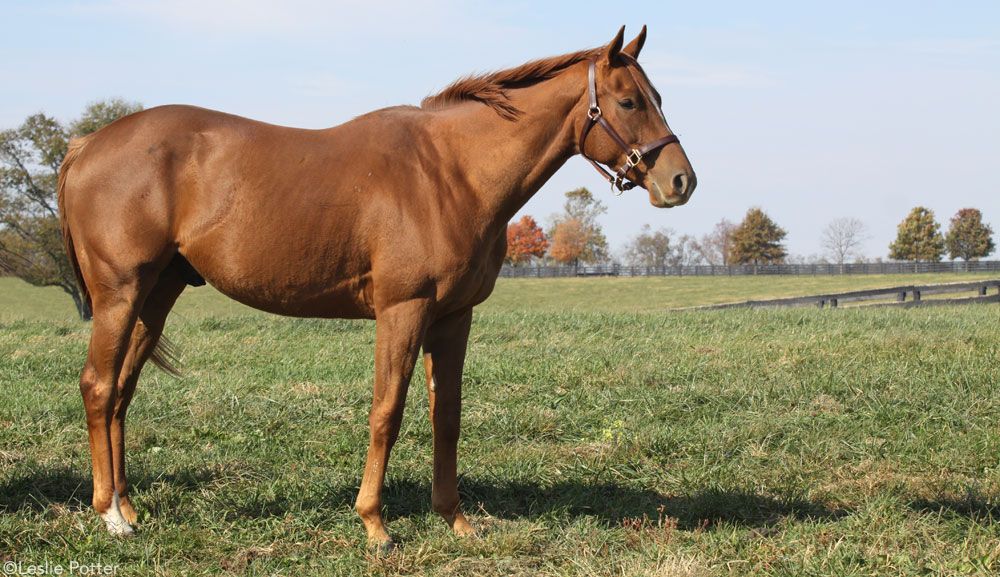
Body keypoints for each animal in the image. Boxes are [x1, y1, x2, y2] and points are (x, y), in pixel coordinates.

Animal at [57, 26, 696, 549]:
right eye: (630, 101)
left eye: (660, 98)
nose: (681, 181)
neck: (451, 171)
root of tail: (86, 145)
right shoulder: (403, 311)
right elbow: (386, 411)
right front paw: (374, 525)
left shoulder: (454, 317)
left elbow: (447, 416)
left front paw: (456, 520)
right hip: (120, 294)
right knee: (97, 386)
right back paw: (109, 516)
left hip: (156, 296)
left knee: (121, 393)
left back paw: (128, 508)